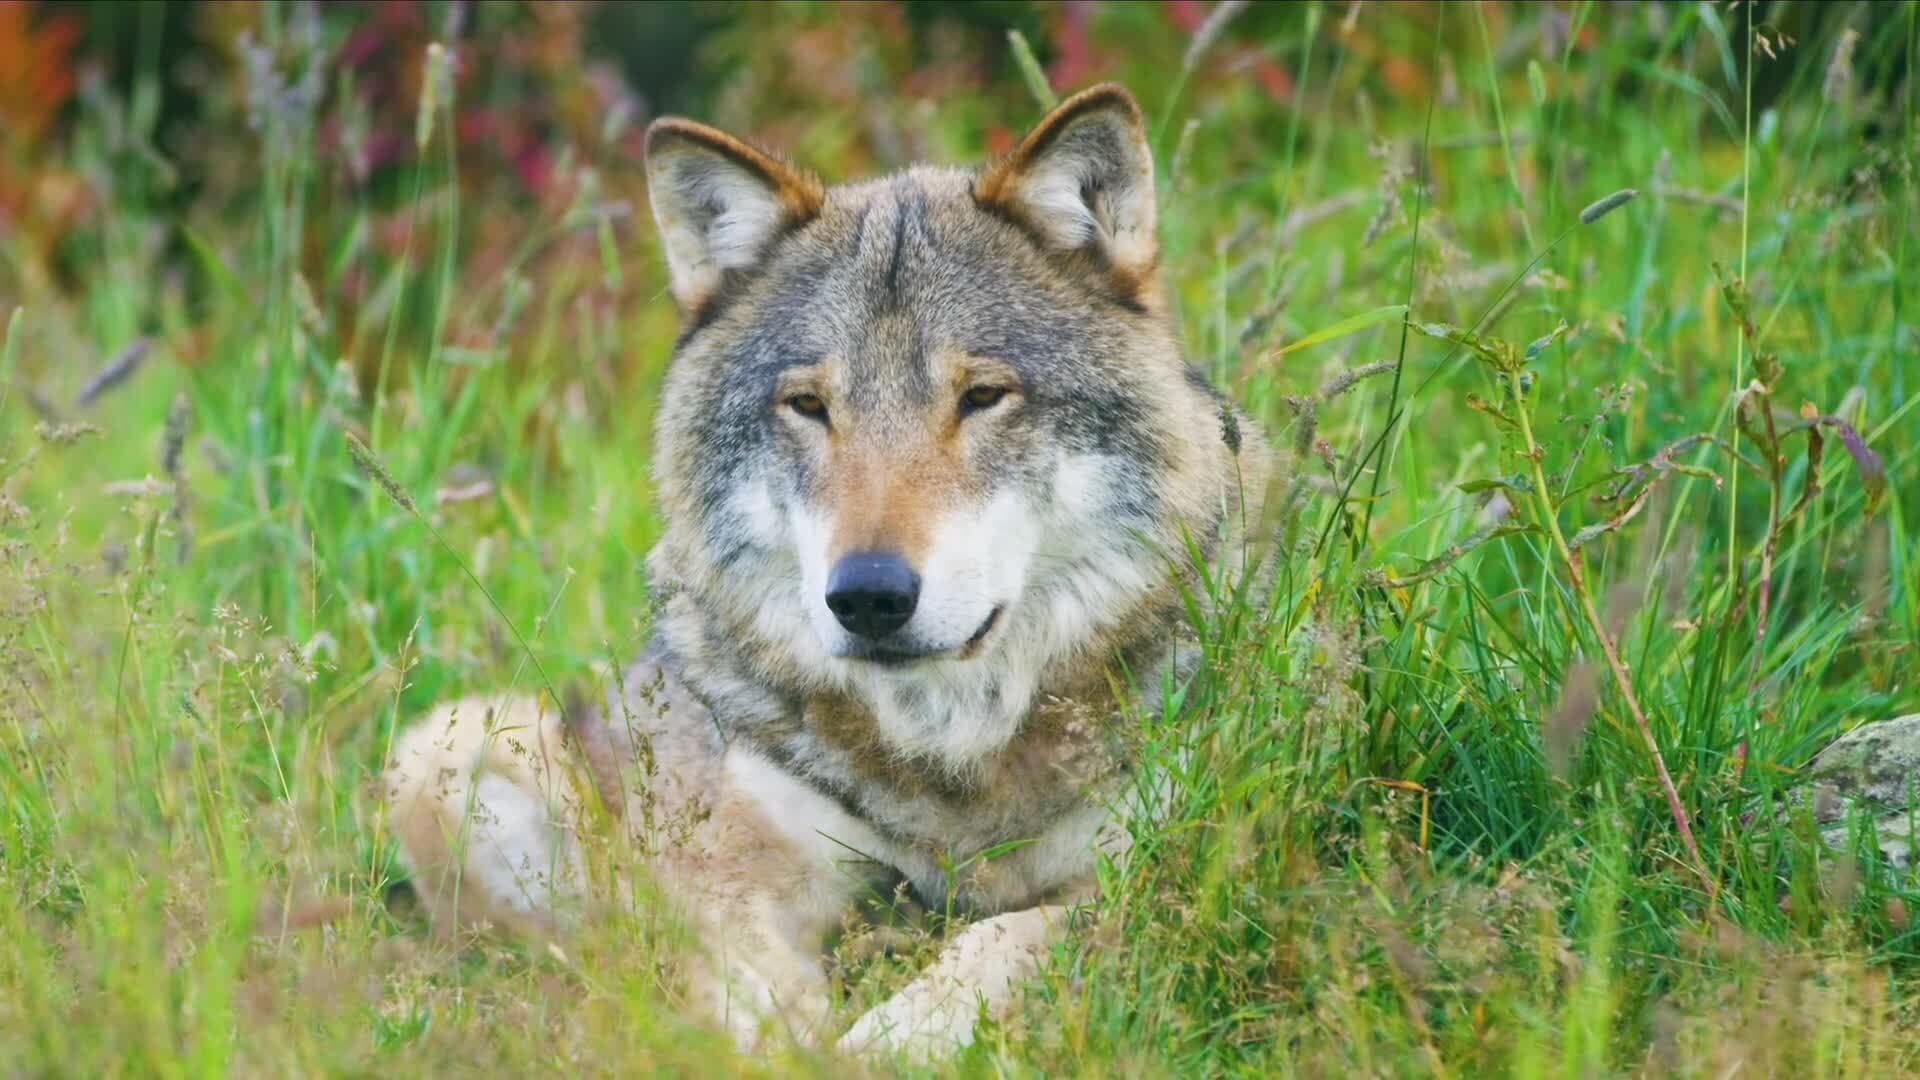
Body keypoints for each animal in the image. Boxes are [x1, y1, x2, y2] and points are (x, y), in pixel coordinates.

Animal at [384, 82, 1273, 1063]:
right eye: (810, 407)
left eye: (980, 397)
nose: (869, 597)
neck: (947, 756)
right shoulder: (724, 875)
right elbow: (746, 984)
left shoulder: (1148, 866)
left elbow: (1011, 934)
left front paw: (901, 1032)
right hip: (448, 747)